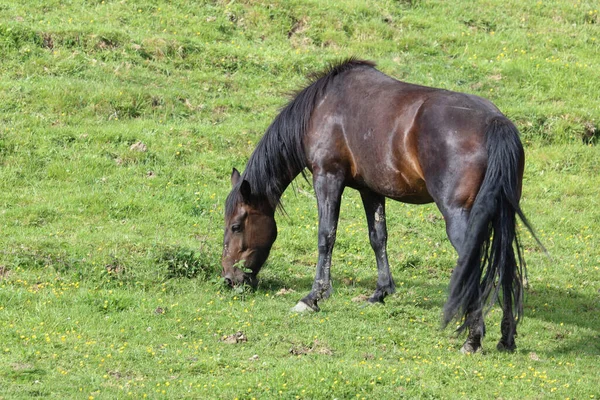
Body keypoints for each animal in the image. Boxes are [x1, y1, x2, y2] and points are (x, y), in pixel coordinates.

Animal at [220, 57, 540, 352]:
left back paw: (473, 338)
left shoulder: (328, 177)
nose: (229, 279)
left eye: (236, 226)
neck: (323, 107)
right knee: (506, 263)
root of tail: (495, 123)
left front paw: (313, 297)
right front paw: (381, 292)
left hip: (460, 217)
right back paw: (506, 338)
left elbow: (326, 236)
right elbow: (378, 238)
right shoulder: (370, 190)